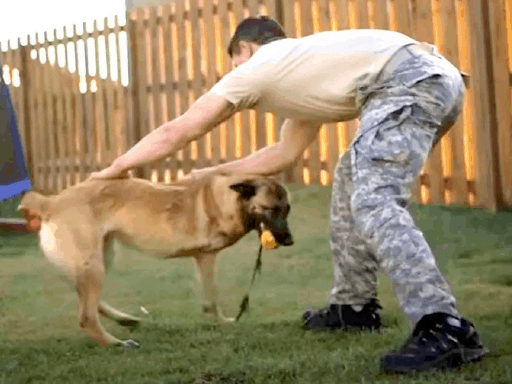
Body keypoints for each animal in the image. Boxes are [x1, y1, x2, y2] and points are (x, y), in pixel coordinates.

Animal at [19, 172, 292, 348]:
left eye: (287, 209)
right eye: (270, 209)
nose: (289, 241)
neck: (227, 200)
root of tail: (50, 202)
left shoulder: (200, 259)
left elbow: (207, 299)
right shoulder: (205, 257)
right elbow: (212, 299)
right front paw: (222, 323)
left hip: (101, 258)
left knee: (90, 302)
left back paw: (125, 320)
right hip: (92, 265)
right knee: (86, 316)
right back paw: (117, 343)